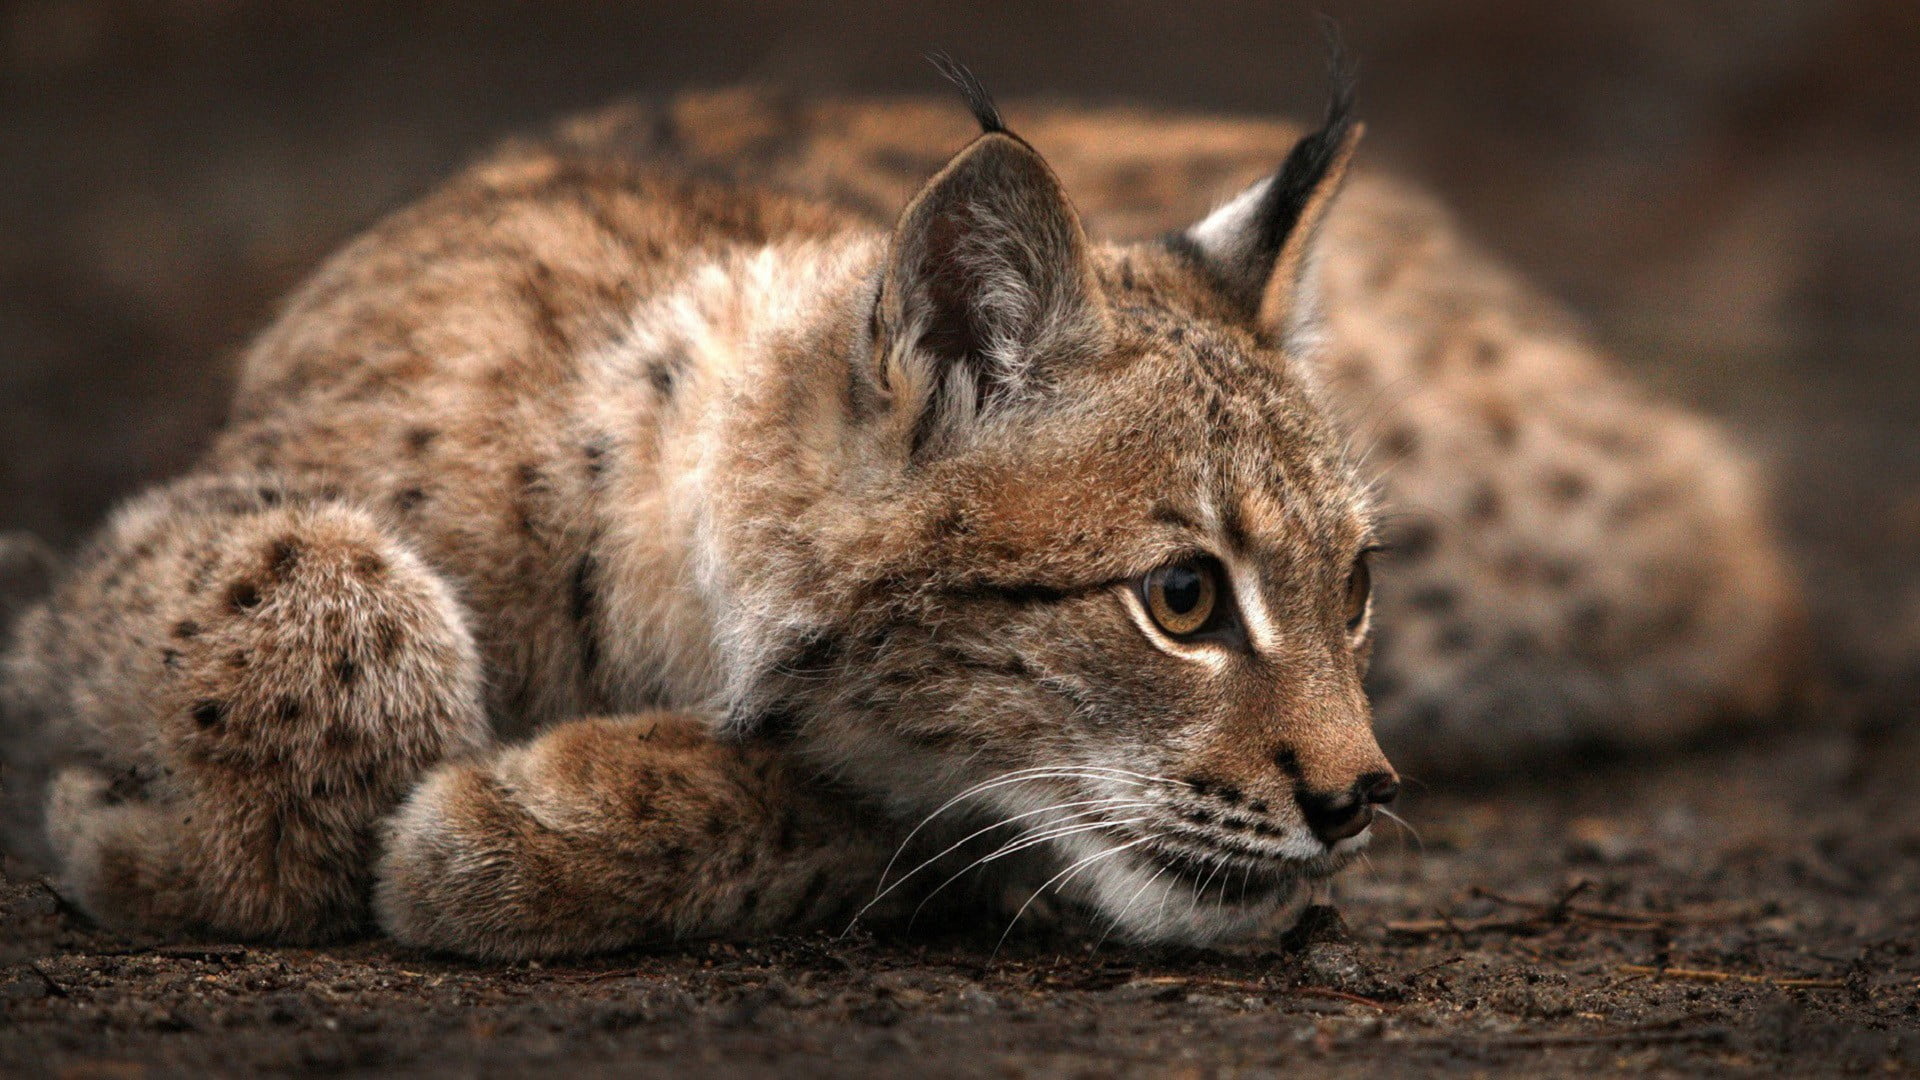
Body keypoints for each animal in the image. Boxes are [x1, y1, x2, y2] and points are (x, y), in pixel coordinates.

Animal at [0, 62, 1797, 953]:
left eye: (1353, 589)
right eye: (1184, 600)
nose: (1362, 800)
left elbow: (900, 812)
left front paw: (529, 832)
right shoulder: (105, 562)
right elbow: (334, 601)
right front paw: (189, 851)